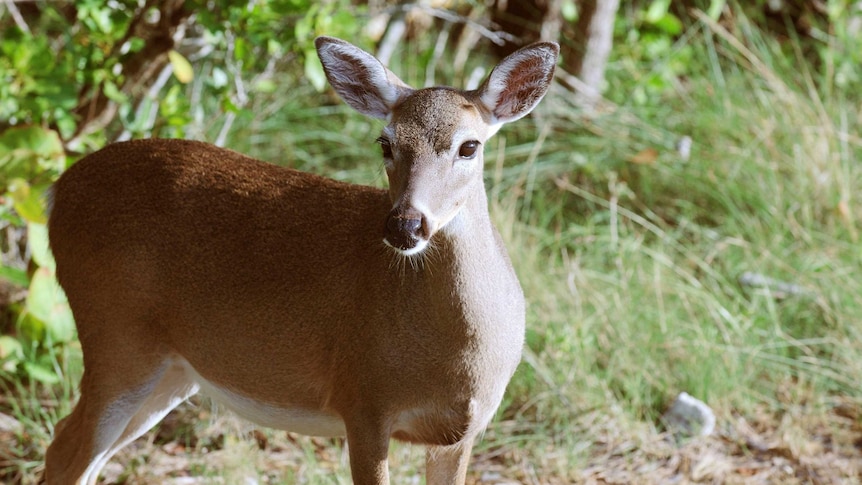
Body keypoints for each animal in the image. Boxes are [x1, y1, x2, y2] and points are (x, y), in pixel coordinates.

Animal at [44, 36, 564, 482]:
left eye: (469, 146)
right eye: (386, 142)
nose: (404, 225)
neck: (457, 359)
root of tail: (56, 191)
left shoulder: (461, 432)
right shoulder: (363, 401)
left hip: (171, 370)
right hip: (115, 333)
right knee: (66, 451)